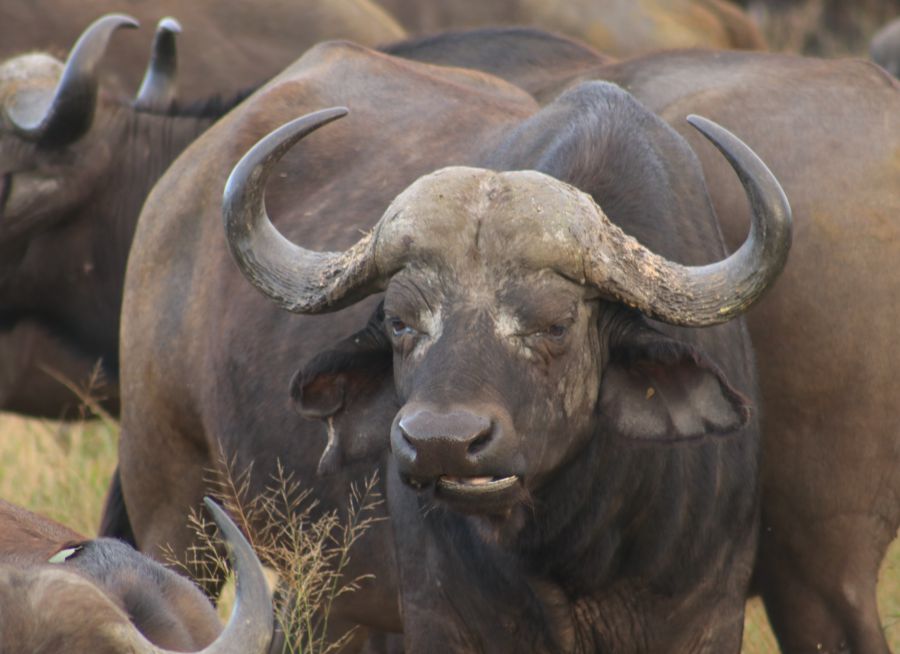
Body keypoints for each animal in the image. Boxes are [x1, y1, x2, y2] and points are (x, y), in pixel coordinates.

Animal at [116, 38, 792, 652]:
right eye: (400, 323)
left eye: (554, 325)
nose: (441, 443)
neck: (579, 537)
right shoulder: (443, 613)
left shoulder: (705, 612)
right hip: (172, 504)